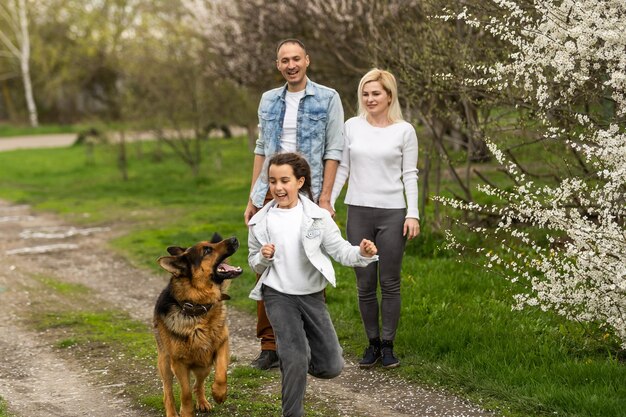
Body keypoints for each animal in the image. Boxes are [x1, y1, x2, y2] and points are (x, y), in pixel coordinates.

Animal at [153, 232, 241, 414]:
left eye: (211, 244)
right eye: (207, 250)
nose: (234, 238)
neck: (198, 308)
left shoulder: (222, 345)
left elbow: (221, 373)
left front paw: (219, 393)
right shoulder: (178, 363)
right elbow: (185, 393)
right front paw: (186, 412)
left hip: (204, 365)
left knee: (198, 384)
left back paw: (202, 401)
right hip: (165, 364)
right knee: (168, 393)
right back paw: (172, 412)